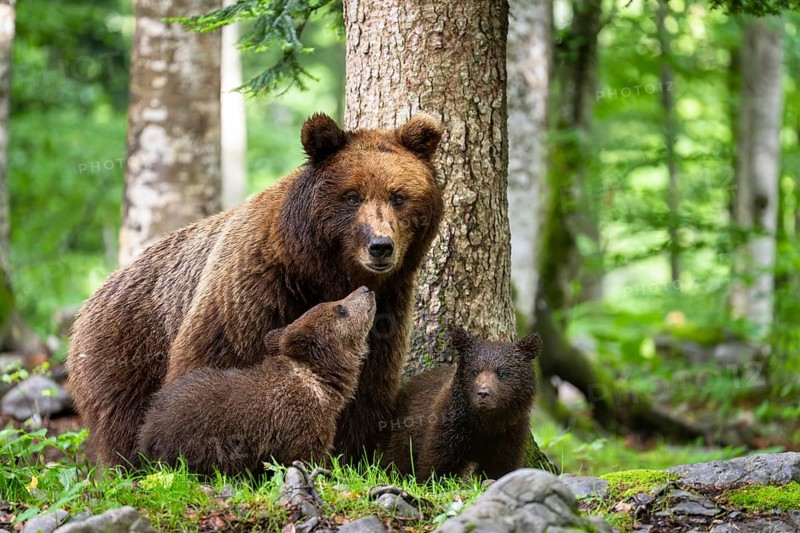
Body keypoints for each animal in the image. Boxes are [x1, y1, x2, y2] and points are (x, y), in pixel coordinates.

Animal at [136, 287, 375, 475]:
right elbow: (306, 455)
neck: (321, 384)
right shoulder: (303, 424)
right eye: (340, 309)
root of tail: (149, 431)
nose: (365, 289)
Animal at [382, 326, 541, 481]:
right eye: (474, 371)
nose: (483, 393)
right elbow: (437, 462)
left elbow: (502, 467)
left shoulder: (510, 431)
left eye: (502, 372)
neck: (485, 423)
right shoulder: (451, 425)